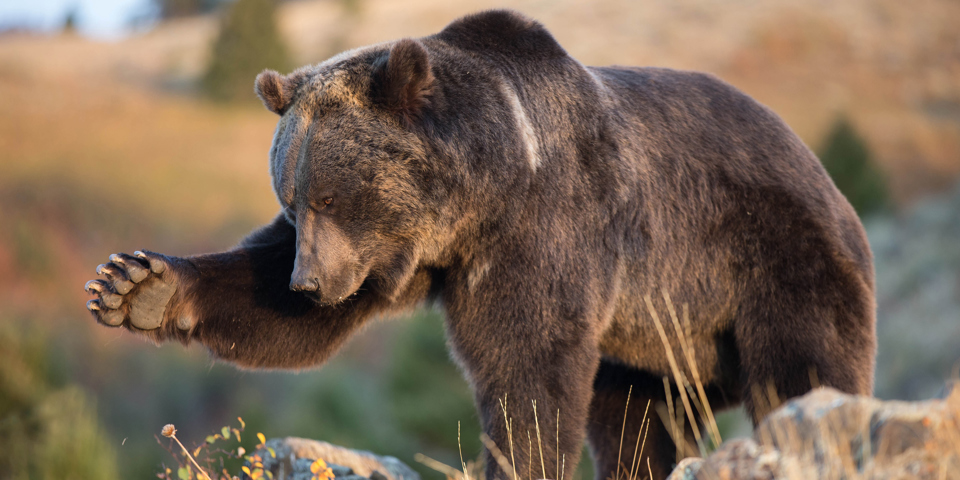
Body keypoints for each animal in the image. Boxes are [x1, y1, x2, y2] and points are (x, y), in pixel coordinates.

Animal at [86, 8, 872, 480]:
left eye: (331, 196)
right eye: (292, 200)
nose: (307, 286)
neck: (478, 199)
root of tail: (829, 180)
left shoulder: (547, 230)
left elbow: (528, 367)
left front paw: (518, 458)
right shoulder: (405, 261)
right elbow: (272, 306)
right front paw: (134, 285)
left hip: (769, 263)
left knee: (804, 370)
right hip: (654, 339)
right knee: (639, 418)